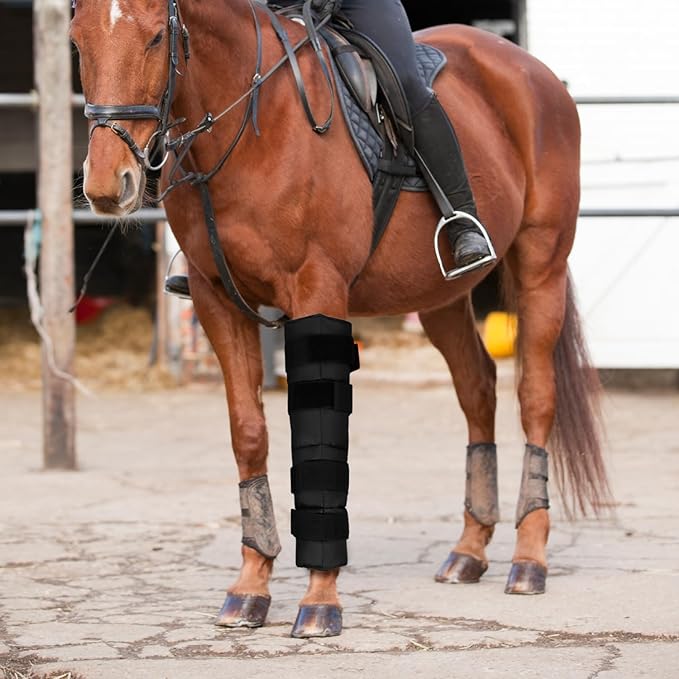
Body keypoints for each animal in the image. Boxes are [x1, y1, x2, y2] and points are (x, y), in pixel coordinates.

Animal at [71, 0, 611, 638]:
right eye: (77, 42)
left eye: (157, 38)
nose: (109, 185)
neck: (253, 125)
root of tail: (533, 71)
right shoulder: (215, 300)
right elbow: (248, 433)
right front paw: (250, 586)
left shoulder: (317, 292)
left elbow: (319, 441)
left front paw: (321, 599)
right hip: (440, 296)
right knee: (478, 390)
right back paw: (469, 551)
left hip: (540, 265)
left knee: (535, 398)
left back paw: (529, 560)